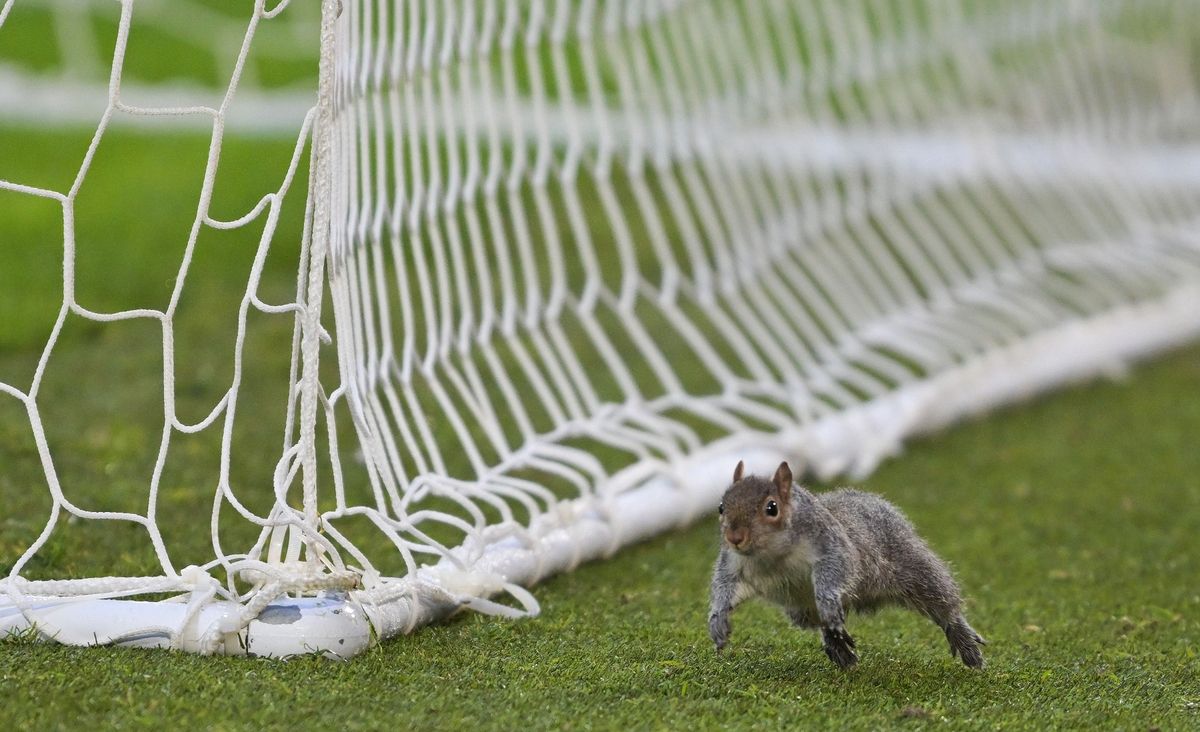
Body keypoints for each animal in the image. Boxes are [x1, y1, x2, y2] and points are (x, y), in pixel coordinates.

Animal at [708, 460, 985, 669]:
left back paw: (964, 641)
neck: (771, 556)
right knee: (824, 624)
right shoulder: (732, 565)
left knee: (943, 606)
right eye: (721, 507)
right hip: (802, 611)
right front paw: (718, 620)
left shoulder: (832, 546)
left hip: (916, 571)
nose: (734, 537)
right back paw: (838, 645)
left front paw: (828, 599)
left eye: (772, 507)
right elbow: (724, 587)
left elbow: (837, 569)